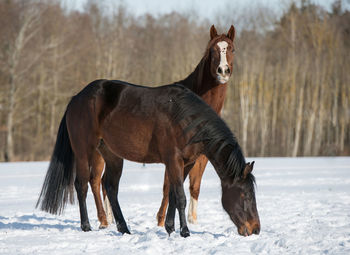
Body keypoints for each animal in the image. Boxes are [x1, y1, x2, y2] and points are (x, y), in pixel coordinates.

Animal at [36, 80, 260, 237]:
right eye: (245, 195)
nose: (255, 229)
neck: (186, 119)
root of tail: (76, 98)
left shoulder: (186, 163)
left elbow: (173, 195)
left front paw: (170, 228)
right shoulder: (173, 160)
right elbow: (180, 196)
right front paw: (185, 232)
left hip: (112, 155)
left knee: (110, 187)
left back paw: (124, 228)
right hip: (84, 151)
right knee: (81, 185)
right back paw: (86, 226)